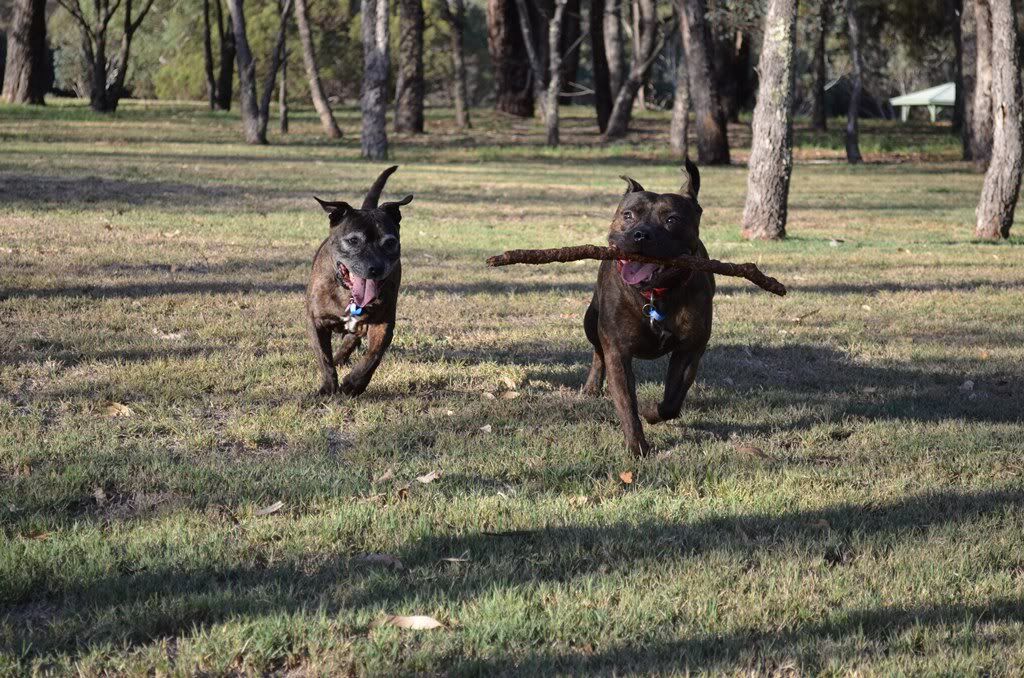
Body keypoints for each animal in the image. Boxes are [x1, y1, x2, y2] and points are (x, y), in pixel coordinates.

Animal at [303, 165, 411, 399]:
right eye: (353, 240)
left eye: (390, 242)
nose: (375, 268)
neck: (350, 295)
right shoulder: (316, 322)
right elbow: (324, 359)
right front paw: (328, 387)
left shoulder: (384, 324)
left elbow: (373, 356)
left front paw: (354, 384)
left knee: (353, 339)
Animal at [581, 159, 716, 456]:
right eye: (628, 214)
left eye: (672, 220)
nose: (641, 234)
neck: (654, 295)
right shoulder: (618, 352)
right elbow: (626, 404)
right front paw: (637, 445)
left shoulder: (690, 350)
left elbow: (672, 402)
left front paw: (651, 412)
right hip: (590, 322)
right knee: (597, 351)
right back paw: (592, 386)